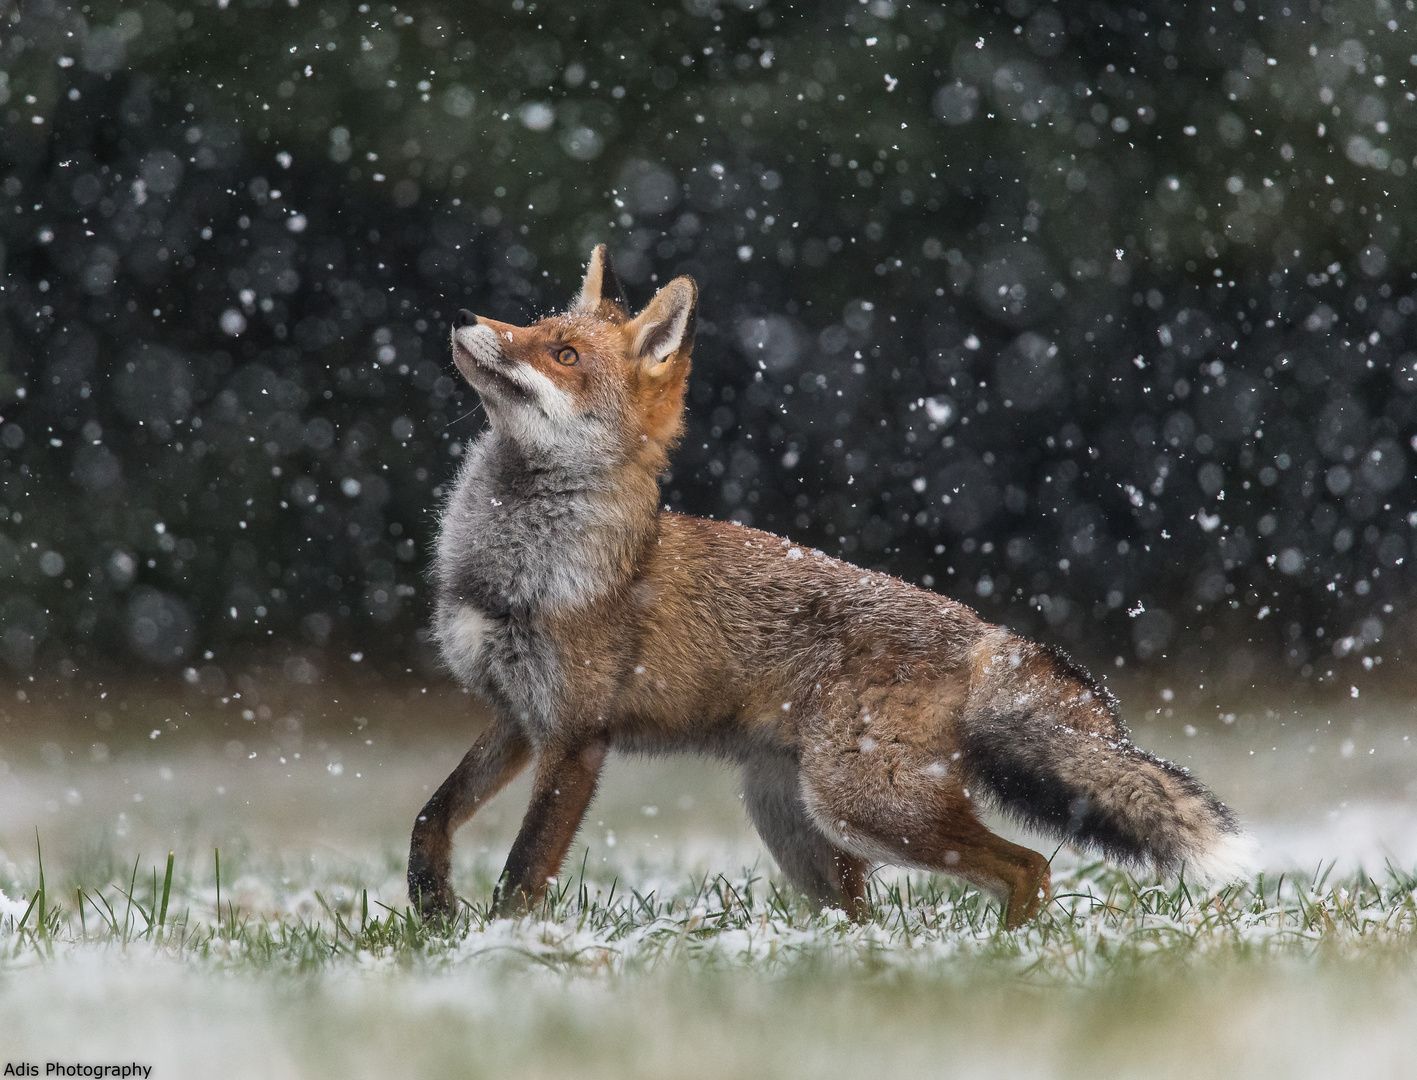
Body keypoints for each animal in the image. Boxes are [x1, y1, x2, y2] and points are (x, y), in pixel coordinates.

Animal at [408, 243, 1252, 924]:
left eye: (563, 354)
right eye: (527, 326)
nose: (461, 313)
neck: (509, 566)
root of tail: (988, 636)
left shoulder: (576, 737)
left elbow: (521, 874)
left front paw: (498, 949)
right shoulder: (518, 716)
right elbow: (432, 816)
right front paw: (432, 907)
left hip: (859, 804)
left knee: (1029, 868)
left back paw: (1007, 962)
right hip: (799, 825)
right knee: (868, 916)